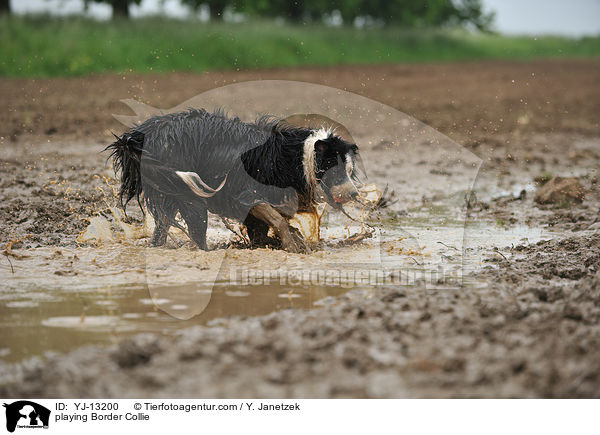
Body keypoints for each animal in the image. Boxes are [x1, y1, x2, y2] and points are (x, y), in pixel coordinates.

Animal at [106, 108, 364, 252]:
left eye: (350, 170)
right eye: (336, 172)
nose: (355, 193)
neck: (297, 159)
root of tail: (141, 134)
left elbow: (267, 227)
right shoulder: (244, 194)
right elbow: (277, 220)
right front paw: (292, 245)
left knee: (162, 226)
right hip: (188, 193)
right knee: (196, 228)